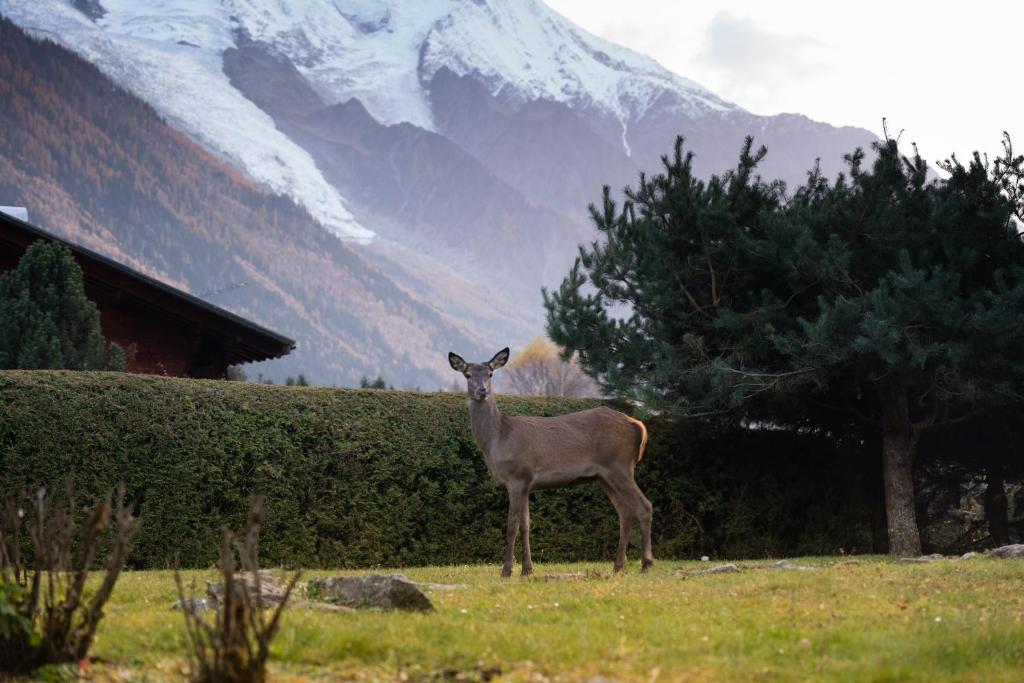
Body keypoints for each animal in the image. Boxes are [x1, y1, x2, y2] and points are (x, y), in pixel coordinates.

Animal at [450, 348, 655, 577]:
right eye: (467, 374)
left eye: (490, 374)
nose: (482, 391)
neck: (498, 438)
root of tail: (639, 426)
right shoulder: (526, 483)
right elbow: (526, 525)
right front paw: (527, 570)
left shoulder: (518, 475)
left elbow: (512, 525)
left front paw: (507, 570)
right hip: (605, 476)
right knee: (625, 513)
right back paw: (618, 566)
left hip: (619, 466)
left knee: (644, 506)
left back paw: (646, 564)